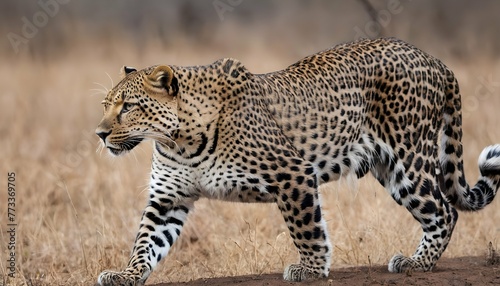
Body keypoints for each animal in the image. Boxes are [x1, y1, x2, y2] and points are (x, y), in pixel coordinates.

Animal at [95, 37, 500, 284]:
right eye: (106, 105)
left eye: (128, 107)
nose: (99, 133)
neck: (178, 141)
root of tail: (433, 59)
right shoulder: (167, 198)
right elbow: (146, 241)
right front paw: (126, 275)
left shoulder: (294, 174)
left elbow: (307, 228)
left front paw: (312, 269)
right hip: (389, 167)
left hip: (409, 158)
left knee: (445, 210)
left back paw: (418, 264)